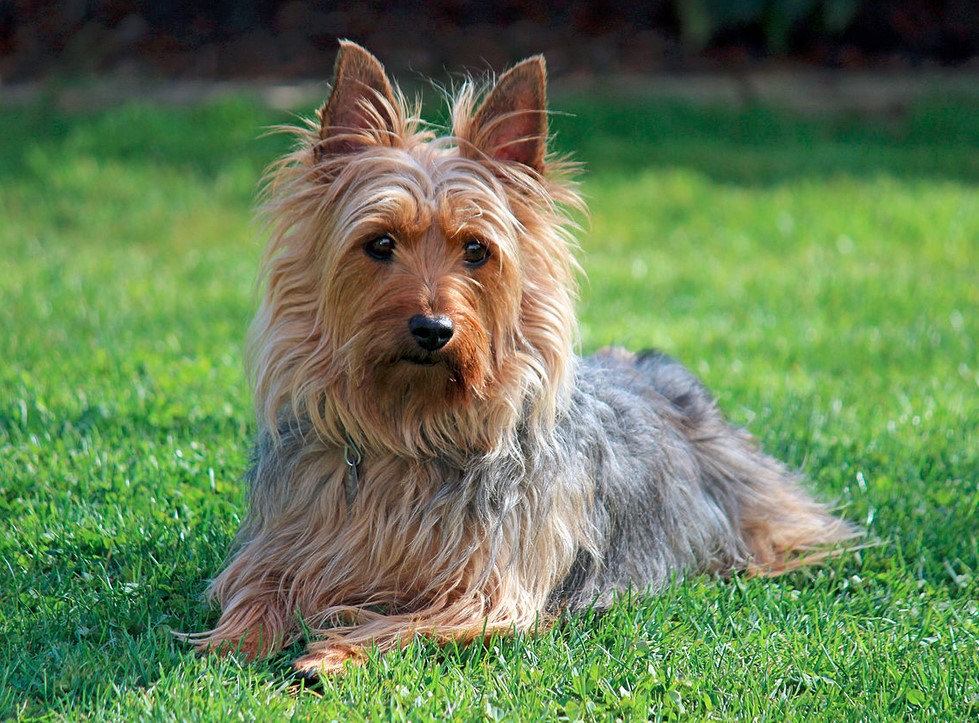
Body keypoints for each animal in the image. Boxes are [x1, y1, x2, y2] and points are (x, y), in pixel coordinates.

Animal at [193, 38, 856, 672]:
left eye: (476, 250)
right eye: (378, 244)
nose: (433, 328)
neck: (410, 429)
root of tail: (645, 366)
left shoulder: (488, 588)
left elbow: (407, 625)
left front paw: (330, 654)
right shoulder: (281, 545)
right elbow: (256, 590)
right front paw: (229, 644)